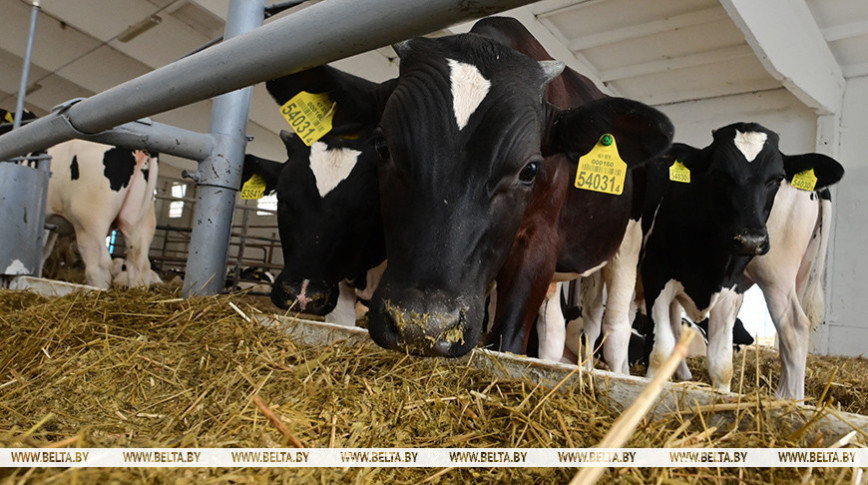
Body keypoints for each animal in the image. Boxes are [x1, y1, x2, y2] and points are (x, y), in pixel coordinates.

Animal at [636, 121, 840, 394]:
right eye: (719, 174)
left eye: (776, 179)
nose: (751, 240)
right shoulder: (658, 276)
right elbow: (666, 349)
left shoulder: (729, 287)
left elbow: (718, 363)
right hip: (799, 275)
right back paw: (784, 397)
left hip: (775, 275)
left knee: (794, 326)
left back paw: (791, 398)